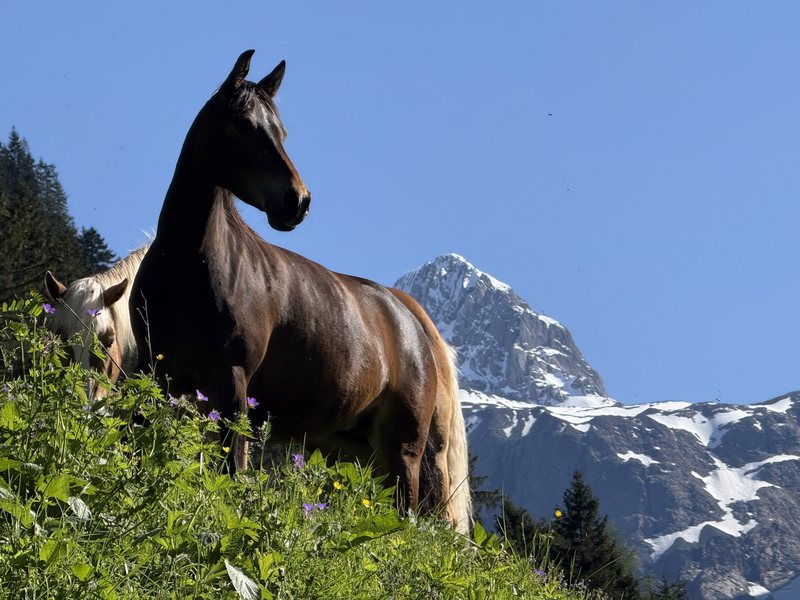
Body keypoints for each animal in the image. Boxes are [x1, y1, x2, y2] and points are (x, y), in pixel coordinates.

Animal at [130, 50, 471, 532]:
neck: (189, 265)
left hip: (403, 451)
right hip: (353, 450)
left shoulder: (233, 387)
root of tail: (412, 322)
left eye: (282, 131)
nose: (298, 201)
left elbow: (231, 471)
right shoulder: (155, 373)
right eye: (243, 125)